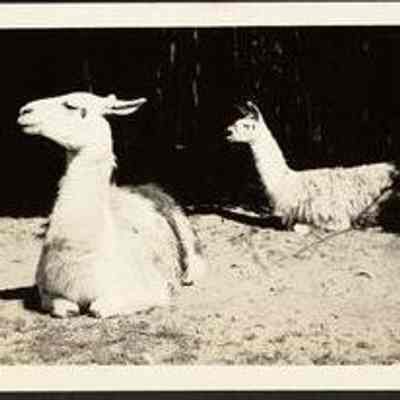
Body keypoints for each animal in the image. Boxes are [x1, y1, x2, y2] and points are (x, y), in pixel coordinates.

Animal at [17, 92, 206, 318]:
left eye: (71, 105)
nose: (24, 111)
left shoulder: (149, 291)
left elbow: (99, 308)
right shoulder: (48, 291)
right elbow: (64, 308)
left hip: (182, 227)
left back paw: (189, 276)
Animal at [225, 101, 398, 232]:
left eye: (247, 125)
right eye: (235, 122)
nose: (228, 132)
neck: (287, 182)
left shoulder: (334, 217)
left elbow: (301, 228)